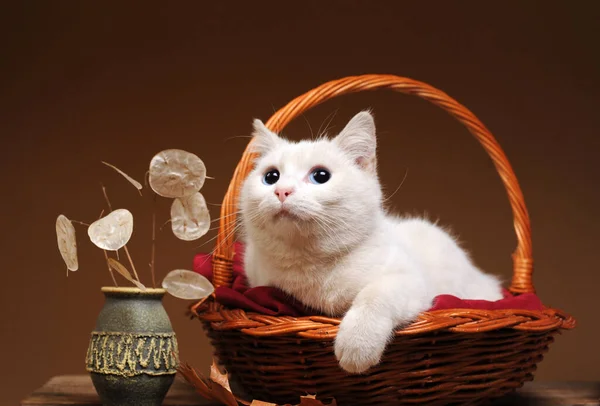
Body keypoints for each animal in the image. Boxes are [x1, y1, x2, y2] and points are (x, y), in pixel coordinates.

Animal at [238, 110, 502, 374]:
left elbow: (375, 295)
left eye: (320, 176)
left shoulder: (411, 281)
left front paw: (357, 343)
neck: (310, 264)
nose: (282, 191)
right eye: (271, 176)